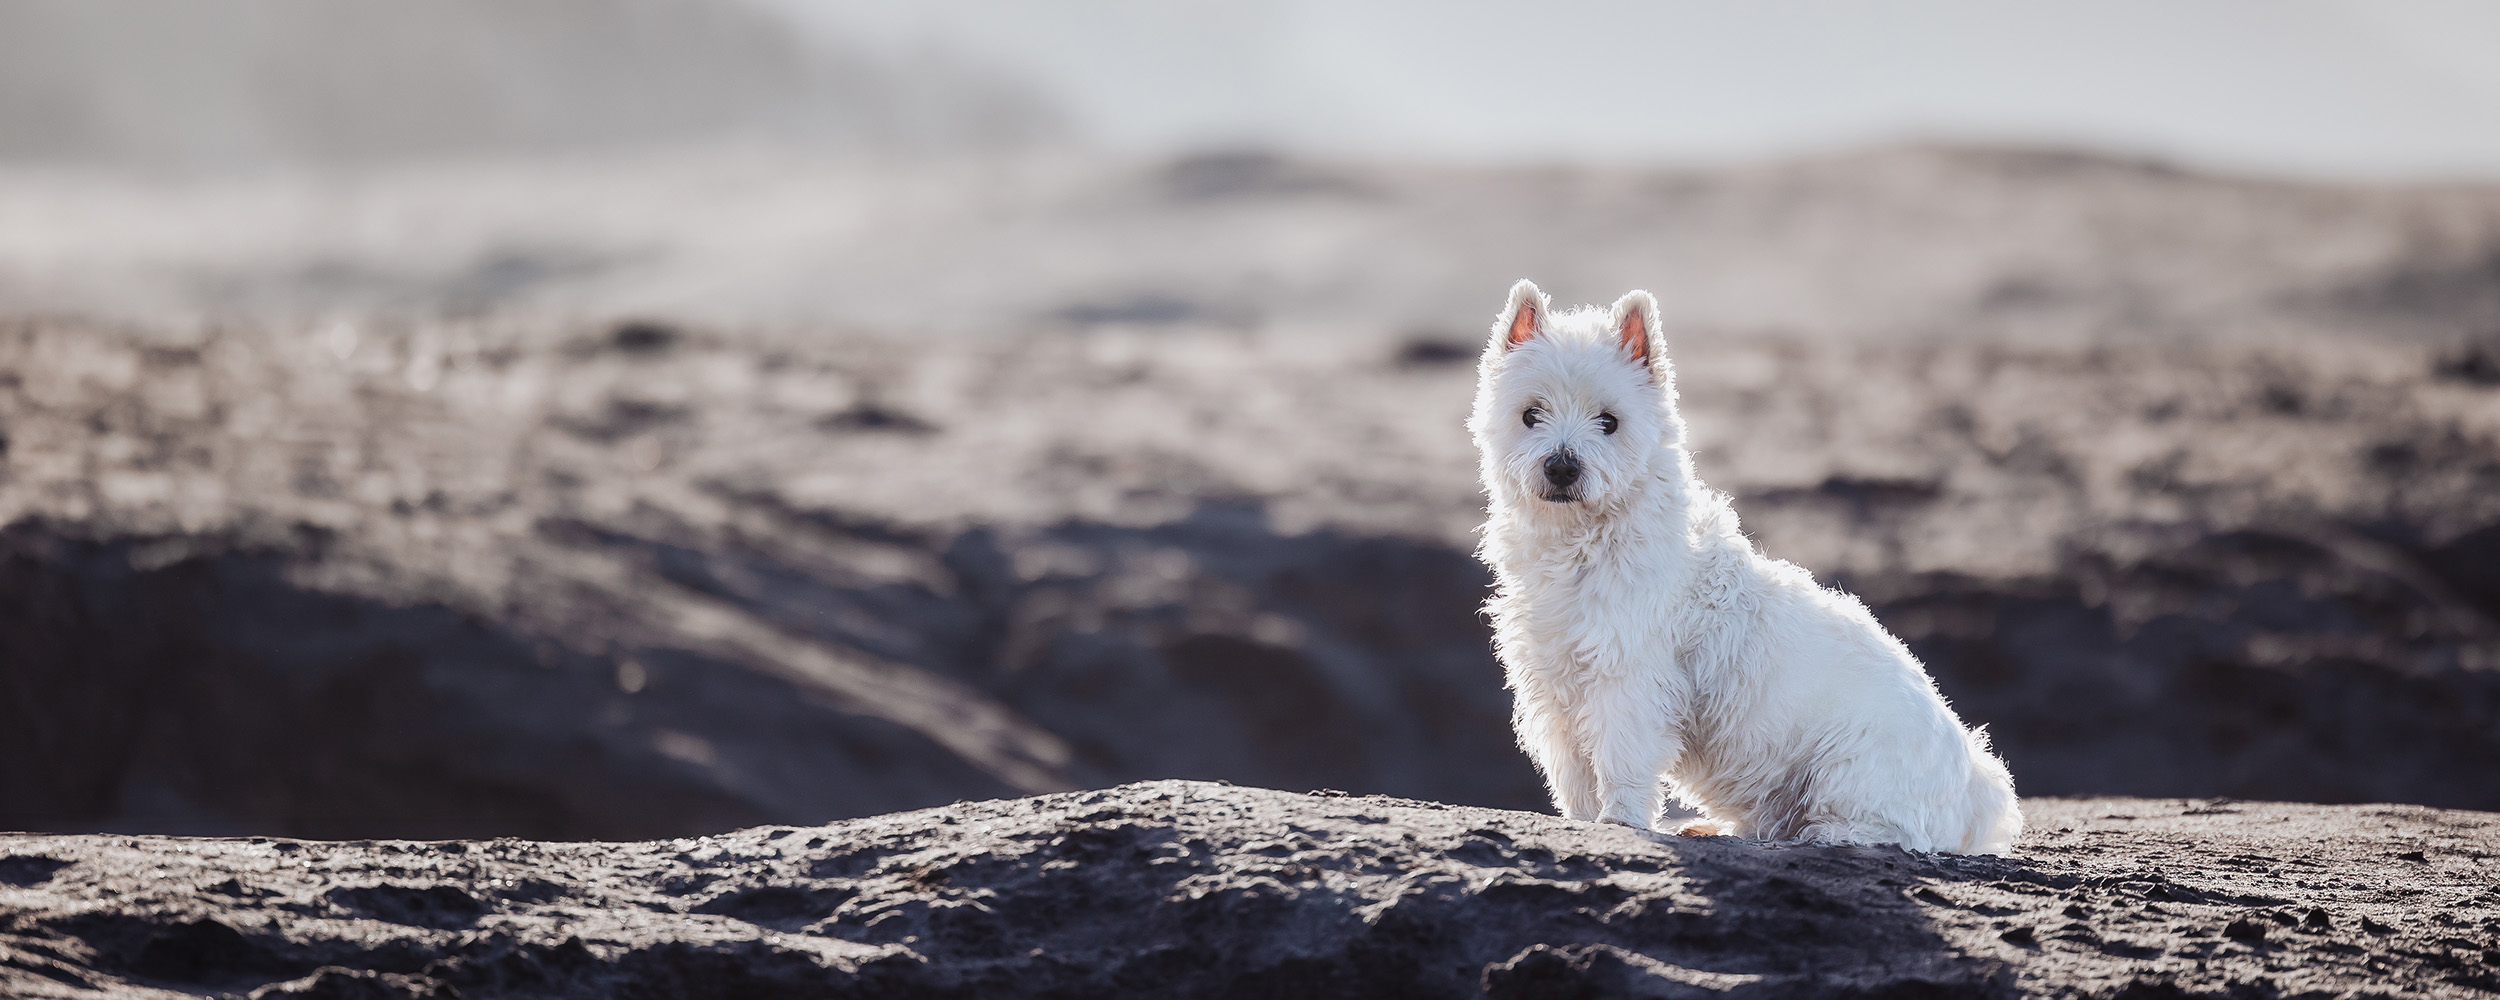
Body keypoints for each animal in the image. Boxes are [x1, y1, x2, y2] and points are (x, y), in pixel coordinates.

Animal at [1470, 278, 2020, 850]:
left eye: (1609, 422)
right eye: (1530, 414)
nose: (1561, 467)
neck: (1578, 546)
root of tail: (1974, 786)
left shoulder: (1629, 680)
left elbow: (1621, 759)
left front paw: (1619, 820)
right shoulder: (1553, 681)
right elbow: (1573, 772)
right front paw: (1579, 821)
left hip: (1853, 765)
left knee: (1890, 829)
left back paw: (1820, 834)